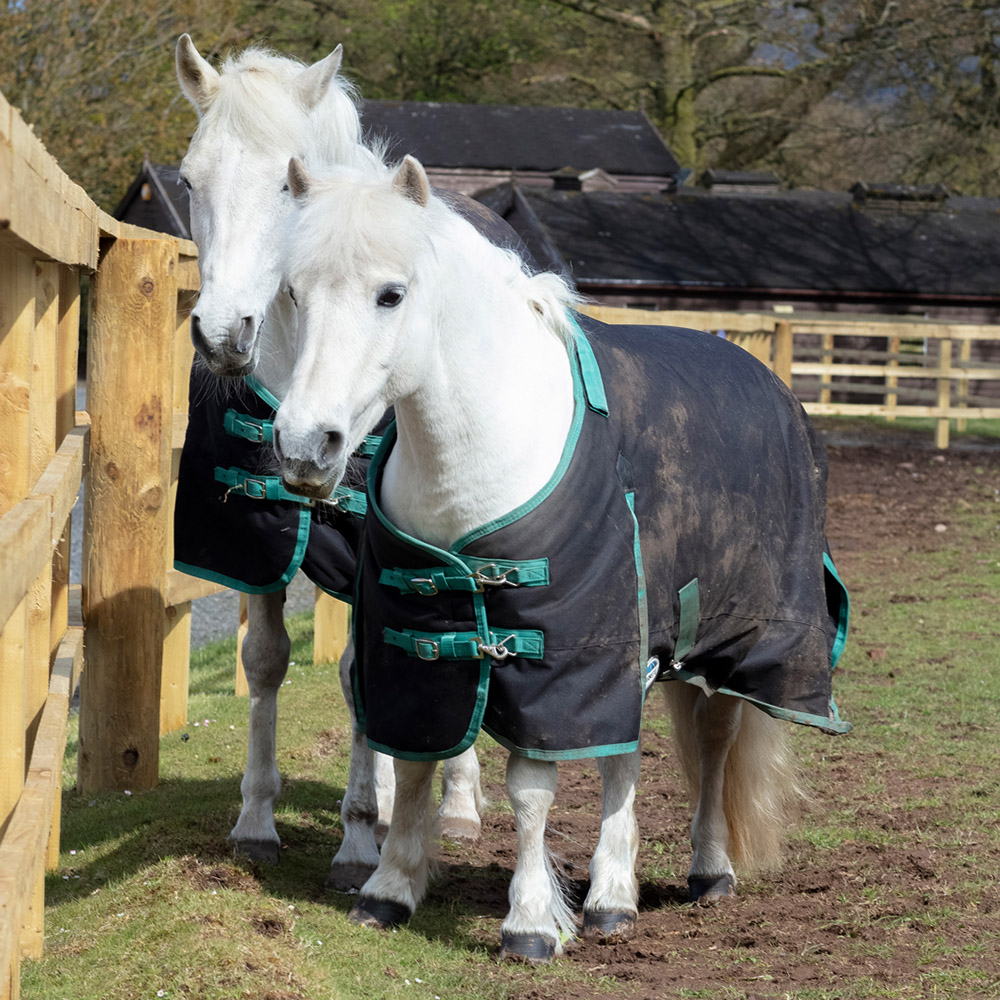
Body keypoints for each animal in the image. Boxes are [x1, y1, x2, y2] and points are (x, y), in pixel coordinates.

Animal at [172, 35, 484, 889]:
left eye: (288, 181)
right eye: (188, 179)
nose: (222, 333)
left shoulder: (375, 549)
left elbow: (356, 677)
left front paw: (357, 838)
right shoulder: (256, 538)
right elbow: (265, 660)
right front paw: (255, 821)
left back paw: (456, 803)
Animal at [270, 155, 851, 963]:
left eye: (391, 293)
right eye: (292, 291)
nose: (304, 446)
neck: (483, 449)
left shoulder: (557, 651)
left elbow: (531, 787)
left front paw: (529, 923)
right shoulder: (416, 637)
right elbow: (416, 761)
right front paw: (389, 889)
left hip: (731, 640)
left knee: (713, 743)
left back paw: (707, 872)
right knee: (623, 754)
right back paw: (613, 899)